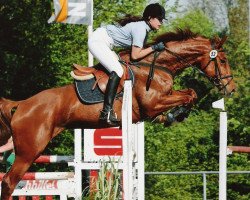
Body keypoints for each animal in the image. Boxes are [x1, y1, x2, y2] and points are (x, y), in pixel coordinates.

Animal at [0, 28, 235, 198]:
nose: (231, 89)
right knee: (9, 181)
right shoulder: (153, 104)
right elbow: (189, 95)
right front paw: (176, 114)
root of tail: (22, 104)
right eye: (223, 61)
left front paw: (172, 116)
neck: (157, 65)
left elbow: (190, 93)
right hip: (30, 150)